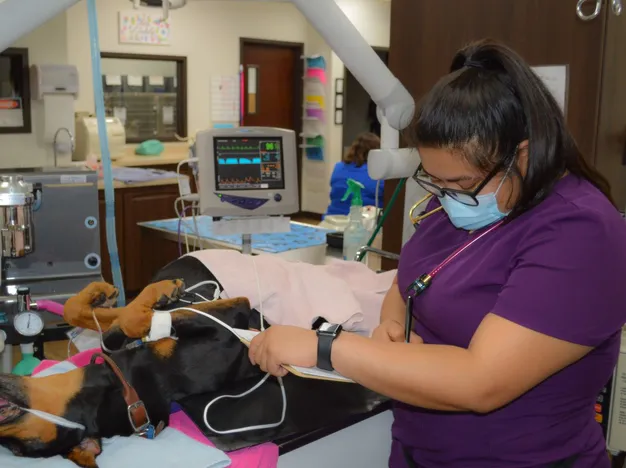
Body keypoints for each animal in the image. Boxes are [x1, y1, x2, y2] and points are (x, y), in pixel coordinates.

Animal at [0, 258, 266, 466]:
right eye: (15, 446)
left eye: (10, 415)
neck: (123, 383)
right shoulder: (229, 316)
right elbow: (132, 318)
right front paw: (163, 293)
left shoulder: (114, 341)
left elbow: (89, 313)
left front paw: (100, 293)